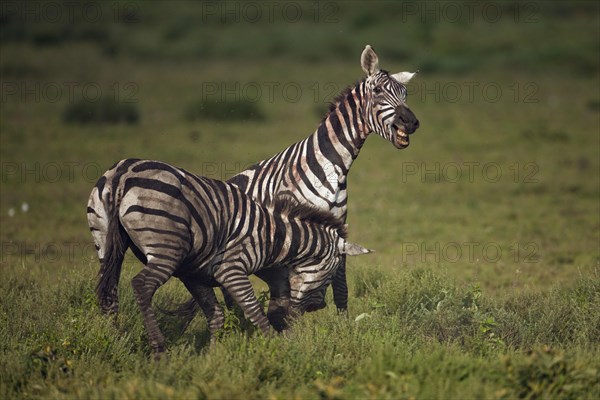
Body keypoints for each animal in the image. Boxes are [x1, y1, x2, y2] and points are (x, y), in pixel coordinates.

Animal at [87, 158, 370, 358]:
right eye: (331, 274)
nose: (318, 307)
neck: (273, 237)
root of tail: (122, 173)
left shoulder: (195, 275)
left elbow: (217, 316)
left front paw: (213, 357)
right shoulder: (231, 269)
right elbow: (253, 309)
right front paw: (275, 348)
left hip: (104, 243)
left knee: (108, 294)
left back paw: (115, 340)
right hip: (165, 248)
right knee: (142, 285)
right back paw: (159, 349)